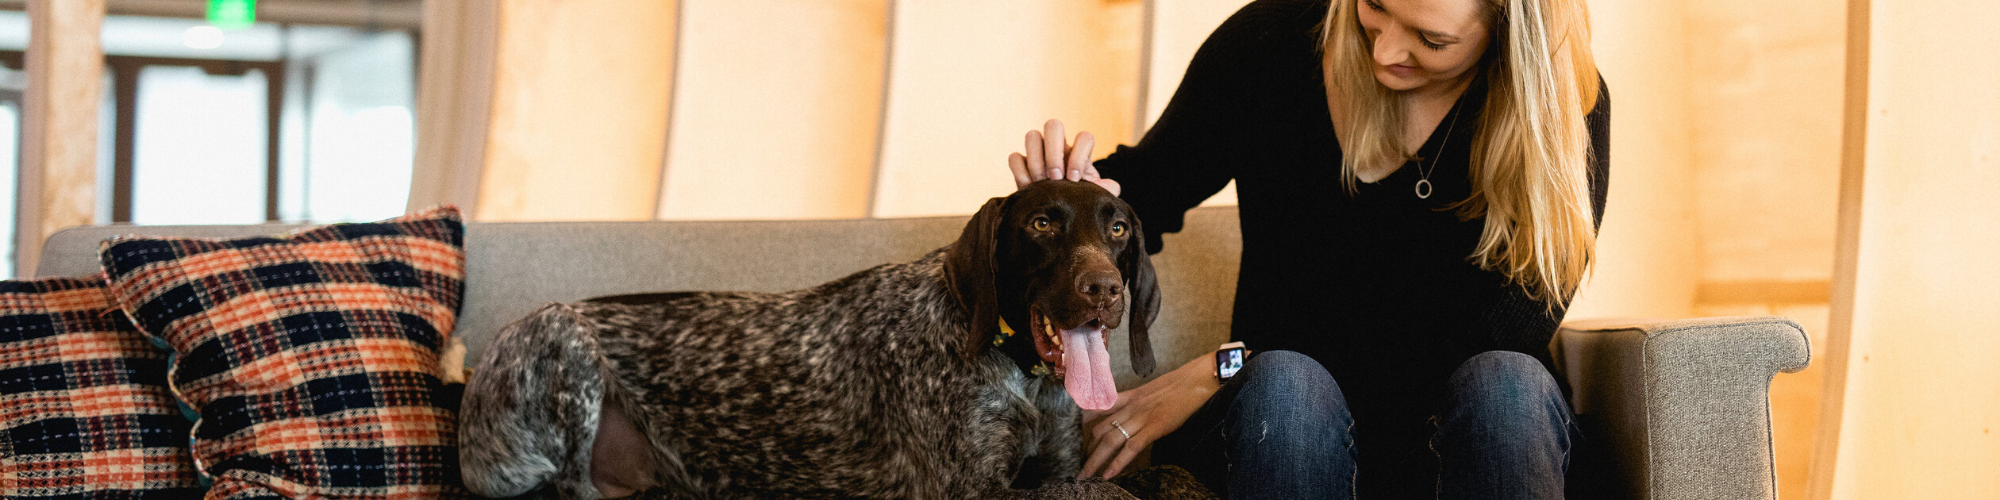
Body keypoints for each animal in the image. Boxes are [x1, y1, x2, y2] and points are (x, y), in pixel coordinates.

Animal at [460, 181, 1168, 500]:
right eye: (1043, 223)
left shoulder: (1058, 467)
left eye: (1117, 230)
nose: (1105, 290)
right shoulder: (970, 490)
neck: (1020, 373)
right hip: (560, 336)